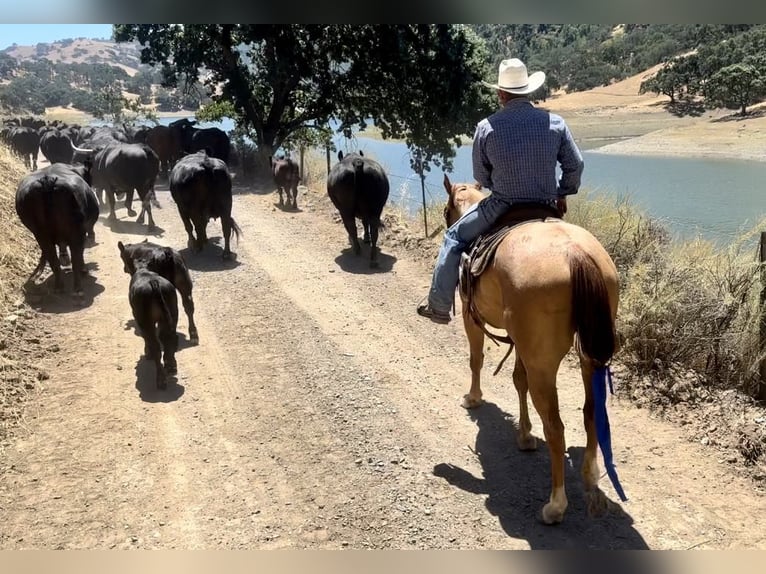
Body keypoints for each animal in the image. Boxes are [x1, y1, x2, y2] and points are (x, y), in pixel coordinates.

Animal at [15, 162, 100, 296]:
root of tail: (48, 180)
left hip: (41, 234)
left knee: (52, 258)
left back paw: (59, 286)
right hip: (76, 232)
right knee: (76, 257)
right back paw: (78, 286)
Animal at [440, 176, 628, 528]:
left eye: (446, 211)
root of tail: (575, 254)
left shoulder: (473, 317)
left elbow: (476, 359)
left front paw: (473, 398)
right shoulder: (520, 343)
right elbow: (518, 380)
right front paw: (524, 436)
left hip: (544, 363)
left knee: (555, 427)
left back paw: (555, 506)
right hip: (588, 357)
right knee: (591, 413)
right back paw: (589, 475)